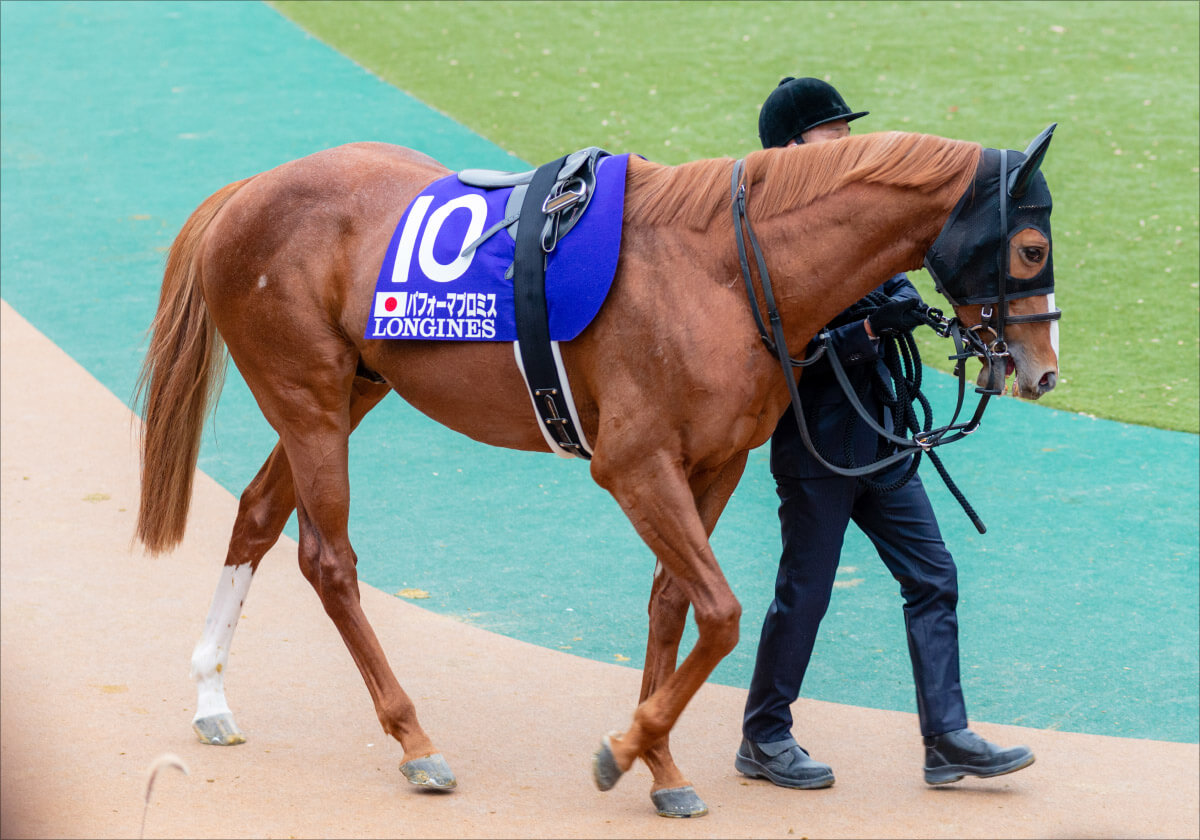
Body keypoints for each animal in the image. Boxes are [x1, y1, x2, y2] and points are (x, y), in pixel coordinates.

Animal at [136, 129, 1060, 816]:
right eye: (1030, 246)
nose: (1044, 371)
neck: (726, 269)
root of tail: (248, 189)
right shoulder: (633, 464)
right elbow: (721, 614)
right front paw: (625, 749)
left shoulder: (713, 462)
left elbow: (675, 604)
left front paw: (663, 767)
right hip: (309, 399)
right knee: (328, 560)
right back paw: (416, 743)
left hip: (353, 389)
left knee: (258, 511)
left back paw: (212, 698)